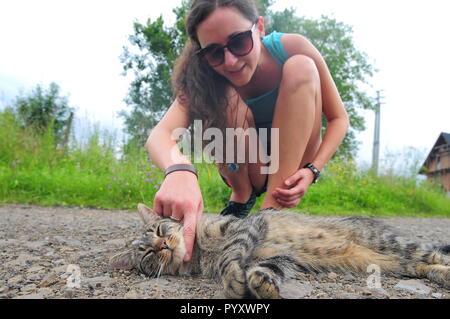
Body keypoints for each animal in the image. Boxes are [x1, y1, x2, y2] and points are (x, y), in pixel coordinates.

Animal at [110, 205, 450, 300]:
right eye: (148, 255)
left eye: (159, 231)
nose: (163, 246)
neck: (201, 252)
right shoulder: (279, 257)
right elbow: (263, 269)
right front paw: (260, 285)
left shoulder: (246, 226)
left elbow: (230, 255)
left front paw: (232, 279)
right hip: (395, 262)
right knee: (422, 266)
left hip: (394, 243)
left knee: (435, 254)